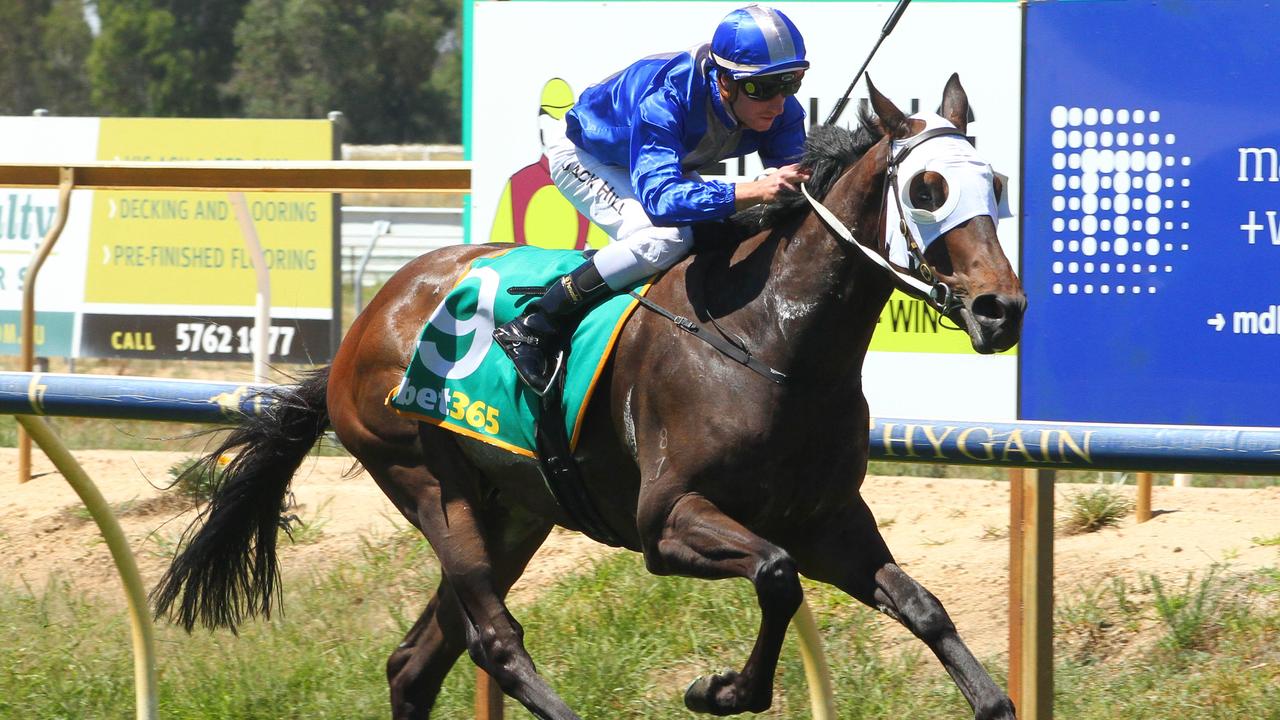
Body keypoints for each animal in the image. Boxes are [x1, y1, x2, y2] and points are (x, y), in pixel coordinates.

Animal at [154, 75, 1024, 712]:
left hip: (512, 510)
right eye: (929, 187)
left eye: (997, 181)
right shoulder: (667, 521)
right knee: (494, 642)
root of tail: (368, 318)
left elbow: (924, 609)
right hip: (426, 481)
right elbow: (777, 577)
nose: (1000, 309)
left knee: (416, 660)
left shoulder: (830, 521)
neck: (776, 343)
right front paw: (719, 690)